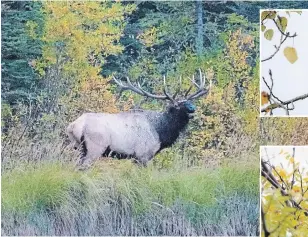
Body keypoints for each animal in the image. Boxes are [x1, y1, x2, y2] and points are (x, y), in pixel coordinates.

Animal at [67, 69, 212, 168]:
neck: (160, 133)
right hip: (95, 147)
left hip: (77, 147)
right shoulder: (143, 155)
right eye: (178, 105)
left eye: (190, 101)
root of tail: (75, 125)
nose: (193, 108)